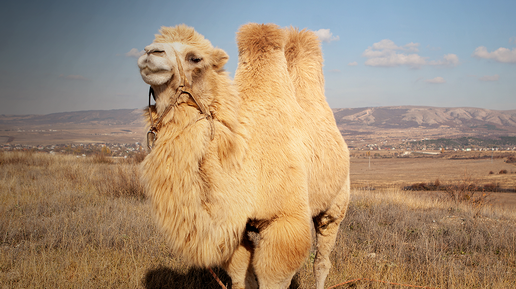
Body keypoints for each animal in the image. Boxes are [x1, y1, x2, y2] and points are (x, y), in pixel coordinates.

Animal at [136, 23, 350, 288]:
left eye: (195, 58)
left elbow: (274, 277)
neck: (241, 158)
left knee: (321, 259)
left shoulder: (284, 220)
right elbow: (241, 274)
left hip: (336, 204)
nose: (149, 52)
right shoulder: (234, 227)